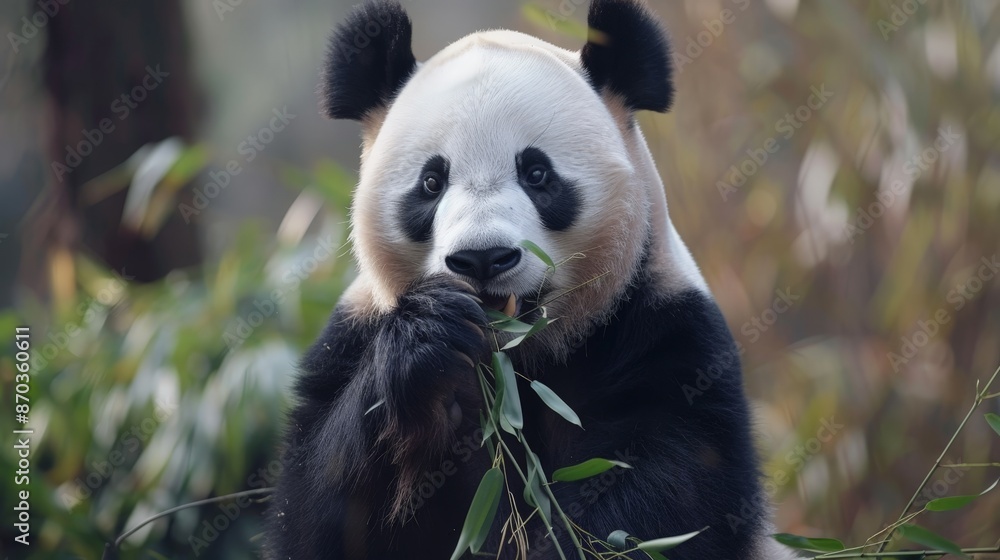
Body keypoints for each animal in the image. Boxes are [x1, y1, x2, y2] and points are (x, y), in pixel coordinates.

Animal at [267, 1, 795, 559]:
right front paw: (430, 344)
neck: (518, 361)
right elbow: (320, 506)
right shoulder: (350, 341)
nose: (481, 259)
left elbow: (658, 499)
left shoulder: (667, 337)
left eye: (537, 174)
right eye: (431, 182)